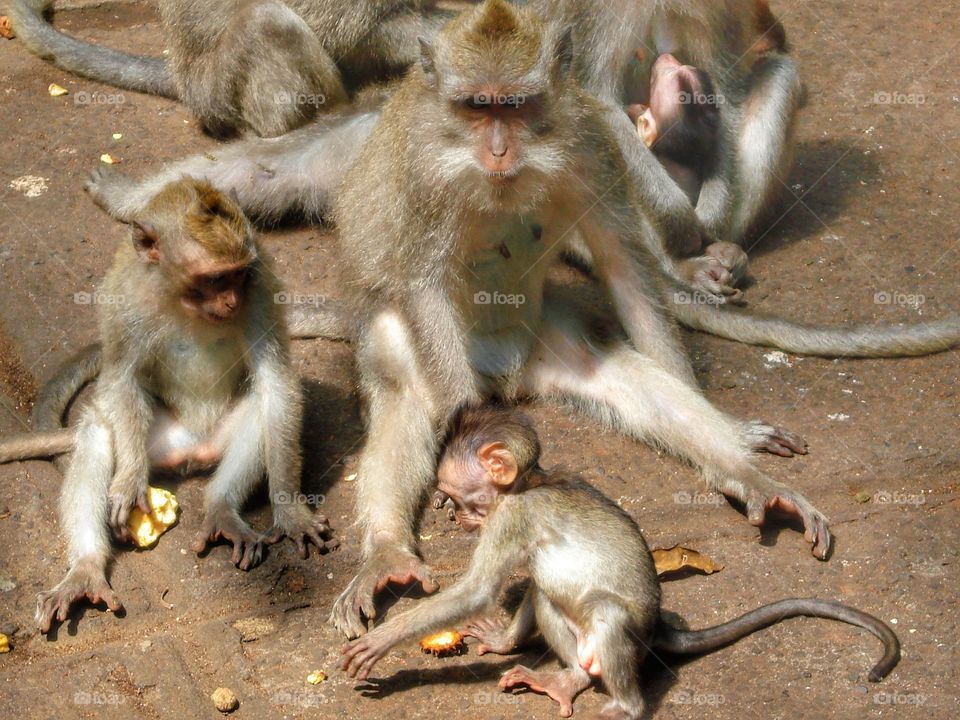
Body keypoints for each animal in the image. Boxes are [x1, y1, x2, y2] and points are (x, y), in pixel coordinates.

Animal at [21, 176, 336, 634]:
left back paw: (222, 508)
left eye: (238, 275)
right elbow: (121, 377)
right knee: (98, 429)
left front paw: (291, 512)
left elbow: (276, 385)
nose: (230, 302)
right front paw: (130, 480)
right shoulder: (122, 297)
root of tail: (192, 449)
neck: (179, 298)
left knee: (259, 406)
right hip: (158, 439)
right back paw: (85, 568)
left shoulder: (260, 285)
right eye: (214, 278)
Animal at [341, 405, 900, 720]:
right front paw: (501, 641)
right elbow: (523, 590)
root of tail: (657, 631)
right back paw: (568, 679)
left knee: (606, 616)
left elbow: (477, 591)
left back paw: (623, 708)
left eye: (458, 496)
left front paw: (381, 642)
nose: (455, 516)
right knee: (548, 596)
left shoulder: (514, 516)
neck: (526, 484)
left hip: (628, 637)